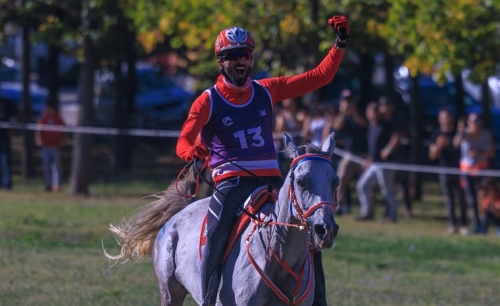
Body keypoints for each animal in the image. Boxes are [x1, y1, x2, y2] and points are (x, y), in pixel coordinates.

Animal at [105, 133, 340, 306]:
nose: (324, 229)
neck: (275, 257)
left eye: (335, 182)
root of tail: (177, 215)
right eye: (300, 182)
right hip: (170, 293)